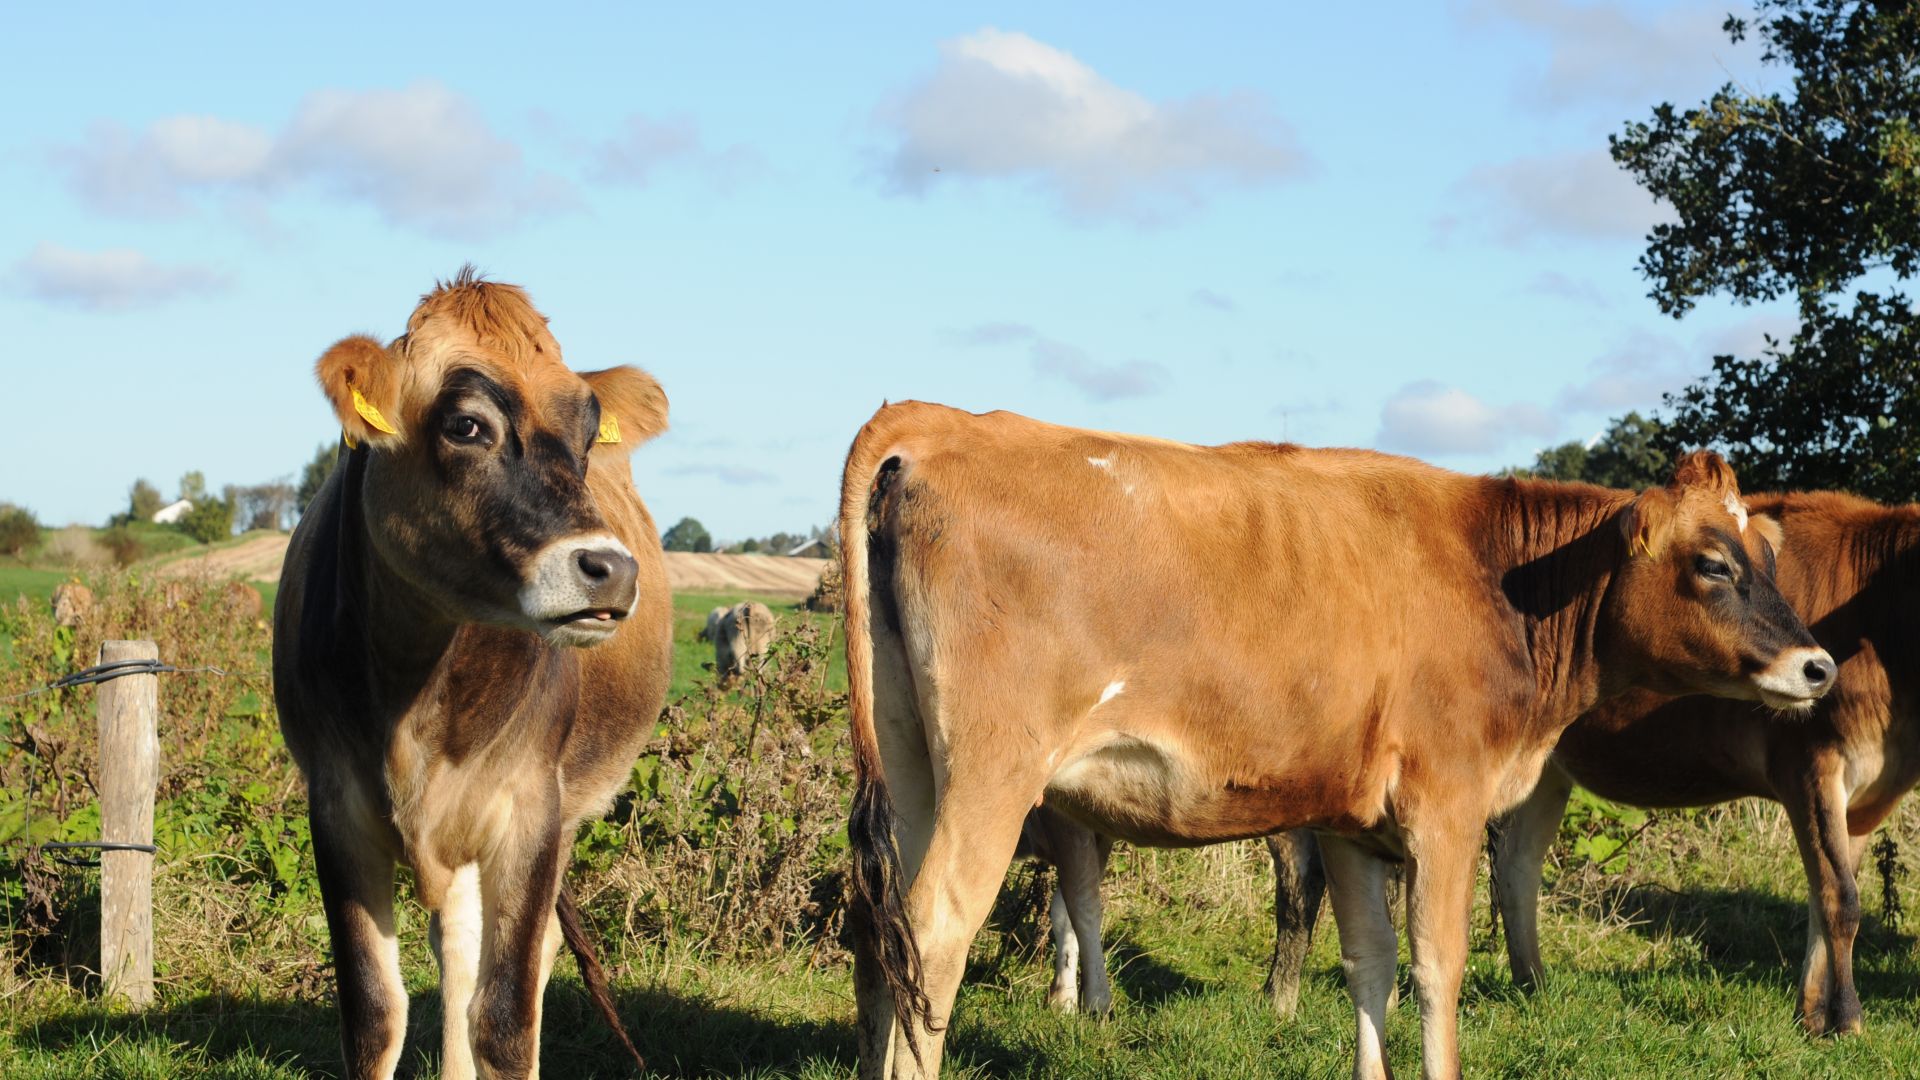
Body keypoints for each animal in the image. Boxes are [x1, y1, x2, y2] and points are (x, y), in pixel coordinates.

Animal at [272, 269, 675, 1076]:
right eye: (466, 426)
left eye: (589, 434)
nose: (611, 569)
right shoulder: (334, 805)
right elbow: (373, 1014)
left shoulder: (532, 808)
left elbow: (505, 1016)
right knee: (457, 942)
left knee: (514, 957)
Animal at [837, 401, 1827, 1076]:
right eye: (1713, 564)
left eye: (1770, 558)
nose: (1818, 665)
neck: (1497, 580)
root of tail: (937, 422)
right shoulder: (1445, 807)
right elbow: (1437, 966)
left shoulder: (1352, 822)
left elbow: (1369, 964)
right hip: (993, 776)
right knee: (934, 934)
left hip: (914, 771)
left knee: (884, 929)